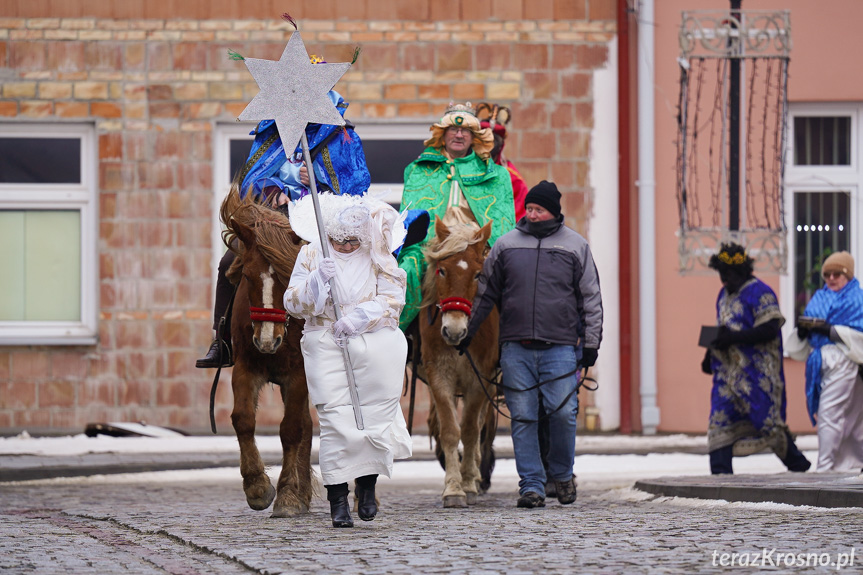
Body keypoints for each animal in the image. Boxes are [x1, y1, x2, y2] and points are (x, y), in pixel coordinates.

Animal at [219, 188, 314, 516]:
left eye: (288, 277)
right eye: (247, 276)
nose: (267, 342)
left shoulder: (299, 375)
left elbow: (291, 429)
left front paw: (286, 494)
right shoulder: (246, 367)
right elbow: (243, 419)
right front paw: (257, 486)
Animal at [420, 220, 500, 508]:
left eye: (478, 275)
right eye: (442, 270)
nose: (453, 331)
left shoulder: (480, 377)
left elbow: (470, 430)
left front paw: (466, 482)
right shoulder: (438, 373)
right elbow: (450, 430)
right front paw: (453, 488)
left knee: (480, 424)